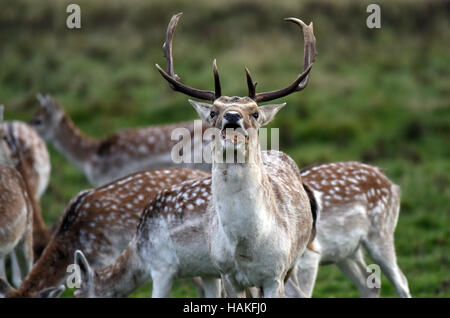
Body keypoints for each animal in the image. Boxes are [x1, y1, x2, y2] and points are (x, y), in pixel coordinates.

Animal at [155, 12, 316, 298]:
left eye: (255, 112)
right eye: (213, 112)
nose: (232, 117)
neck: (246, 247)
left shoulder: (275, 273)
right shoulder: (226, 274)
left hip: (293, 262)